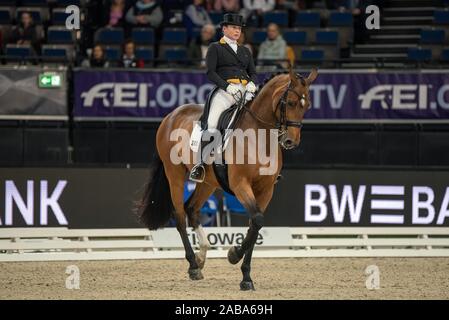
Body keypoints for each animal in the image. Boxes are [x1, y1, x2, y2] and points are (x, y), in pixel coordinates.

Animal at [135, 66, 316, 292]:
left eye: (307, 106)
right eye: (290, 103)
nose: (291, 141)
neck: (259, 136)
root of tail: (171, 115)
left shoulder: (266, 190)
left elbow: (255, 225)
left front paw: (246, 277)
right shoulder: (240, 185)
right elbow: (257, 220)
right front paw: (233, 255)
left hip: (208, 183)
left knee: (191, 208)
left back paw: (201, 257)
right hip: (174, 174)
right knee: (179, 216)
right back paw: (193, 265)